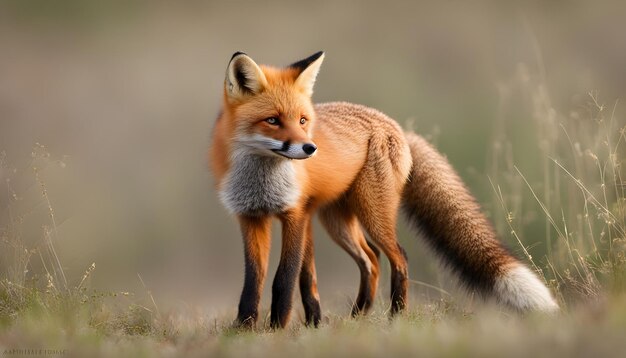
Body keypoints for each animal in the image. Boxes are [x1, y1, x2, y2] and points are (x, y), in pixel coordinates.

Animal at [210, 51, 556, 328]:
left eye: (303, 120)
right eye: (272, 120)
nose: (310, 148)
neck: (260, 181)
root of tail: (398, 127)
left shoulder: (294, 215)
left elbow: (283, 279)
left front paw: (276, 330)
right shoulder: (251, 218)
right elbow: (253, 281)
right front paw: (244, 329)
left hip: (371, 212)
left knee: (397, 256)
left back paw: (395, 317)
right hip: (335, 221)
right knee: (371, 259)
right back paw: (355, 317)